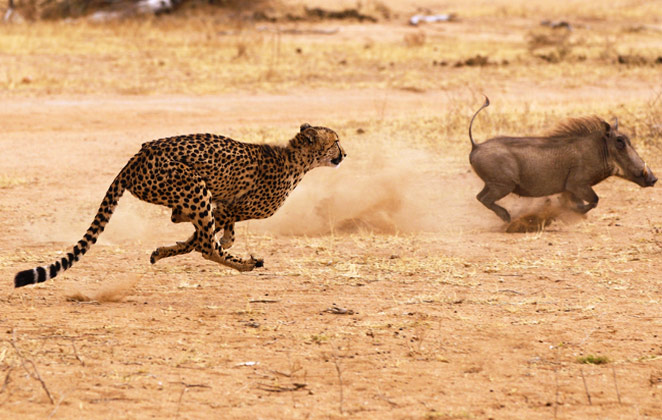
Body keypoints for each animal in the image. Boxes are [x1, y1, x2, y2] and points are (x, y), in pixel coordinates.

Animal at [14, 123, 348, 288]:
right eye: (335, 141)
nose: (344, 154)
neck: (296, 161)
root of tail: (136, 158)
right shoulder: (227, 207)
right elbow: (203, 237)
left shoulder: (223, 206)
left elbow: (212, 232)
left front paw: (169, 248)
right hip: (194, 185)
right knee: (207, 246)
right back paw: (245, 264)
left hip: (189, 190)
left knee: (190, 226)